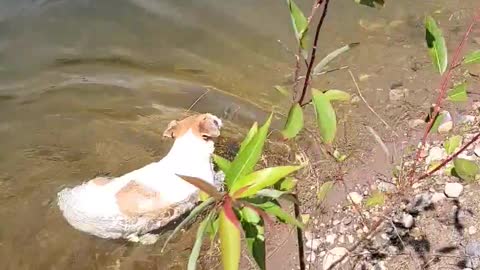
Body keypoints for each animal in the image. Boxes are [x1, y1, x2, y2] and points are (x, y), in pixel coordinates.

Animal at [57, 113, 222, 244]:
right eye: (214, 120)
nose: (219, 118)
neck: (187, 151)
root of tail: (68, 205)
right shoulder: (208, 189)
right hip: (120, 228)